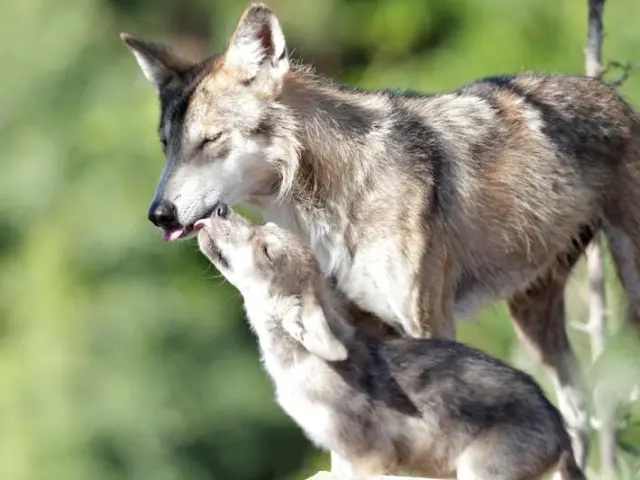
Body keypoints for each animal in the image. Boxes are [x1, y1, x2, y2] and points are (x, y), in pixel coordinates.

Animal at [195, 203, 586, 480]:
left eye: (266, 249)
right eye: (267, 228)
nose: (219, 208)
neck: (302, 362)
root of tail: (561, 431)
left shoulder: (370, 459)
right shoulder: (340, 457)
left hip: (479, 473)